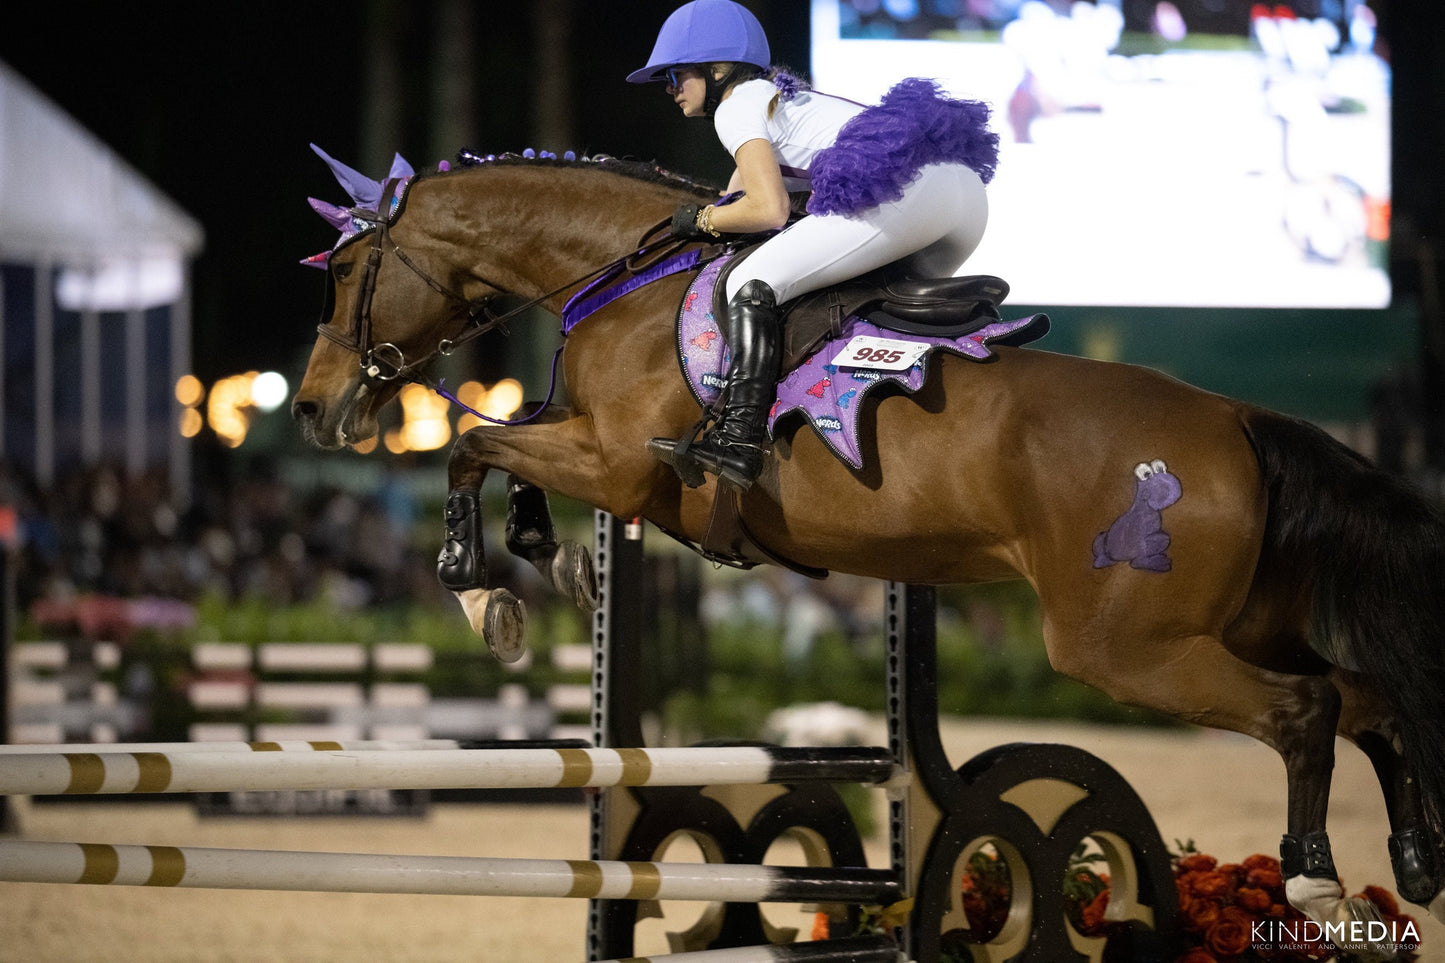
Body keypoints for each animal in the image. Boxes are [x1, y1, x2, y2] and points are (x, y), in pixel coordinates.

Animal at [290, 151, 1445, 942]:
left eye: (344, 274)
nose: (310, 410)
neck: (624, 279)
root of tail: (1242, 421)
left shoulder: (618, 468)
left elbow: (472, 444)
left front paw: (479, 591)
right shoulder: (596, 455)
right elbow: (508, 439)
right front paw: (551, 557)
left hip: (1125, 647)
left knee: (1304, 711)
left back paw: (1314, 879)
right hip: (1232, 624)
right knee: (1369, 701)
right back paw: (1414, 863)